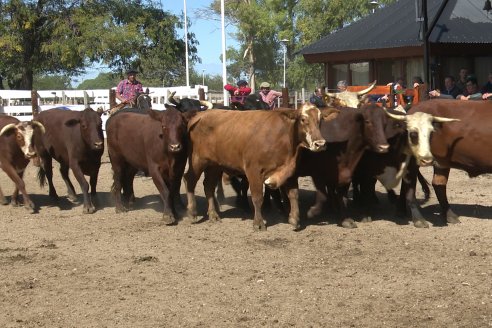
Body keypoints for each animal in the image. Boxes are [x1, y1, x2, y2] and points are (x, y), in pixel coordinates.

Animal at [184, 104, 338, 229]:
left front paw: (294, 219)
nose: (320, 144)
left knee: (208, 186)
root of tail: (199, 115)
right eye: (303, 119)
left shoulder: (289, 172)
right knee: (189, 180)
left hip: (214, 165)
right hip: (197, 160)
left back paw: (213, 214)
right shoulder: (253, 171)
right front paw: (258, 223)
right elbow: (258, 197)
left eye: (320, 120)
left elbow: (294, 194)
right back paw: (192, 213)